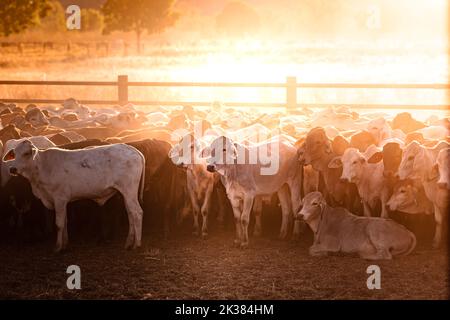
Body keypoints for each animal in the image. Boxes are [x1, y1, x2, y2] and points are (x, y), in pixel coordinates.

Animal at [2, 141, 146, 252]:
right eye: (14, 154)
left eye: (26, 153)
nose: (12, 169)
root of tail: (132, 149)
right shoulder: (62, 201)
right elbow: (65, 222)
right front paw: (65, 244)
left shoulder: (59, 199)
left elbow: (59, 223)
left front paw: (58, 247)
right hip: (126, 194)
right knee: (130, 213)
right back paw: (129, 243)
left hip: (129, 190)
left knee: (137, 213)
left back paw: (137, 244)